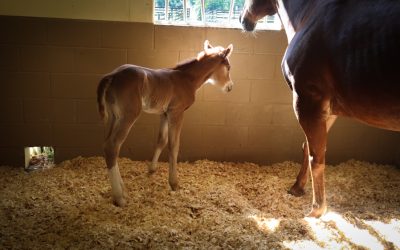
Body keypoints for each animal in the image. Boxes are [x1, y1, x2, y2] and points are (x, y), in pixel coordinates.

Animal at [97, 41, 234, 207]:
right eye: (228, 67)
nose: (230, 87)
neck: (187, 79)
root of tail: (112, 75)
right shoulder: (177, 112)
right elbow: (174, 145)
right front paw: (174, 183)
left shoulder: (164, 114)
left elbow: (161, 141)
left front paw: (152, 170)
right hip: (128, 116)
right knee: (112, 146)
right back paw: (119, 197)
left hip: (114, 116)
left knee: (107, 144)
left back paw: (123, 189)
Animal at [241, 0, 400, 218]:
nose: (243, 20)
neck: (309, 14)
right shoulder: (327, 110)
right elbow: (309, 147)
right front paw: (297, 188)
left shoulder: (308, 101)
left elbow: (315, 158)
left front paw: (316, 211)